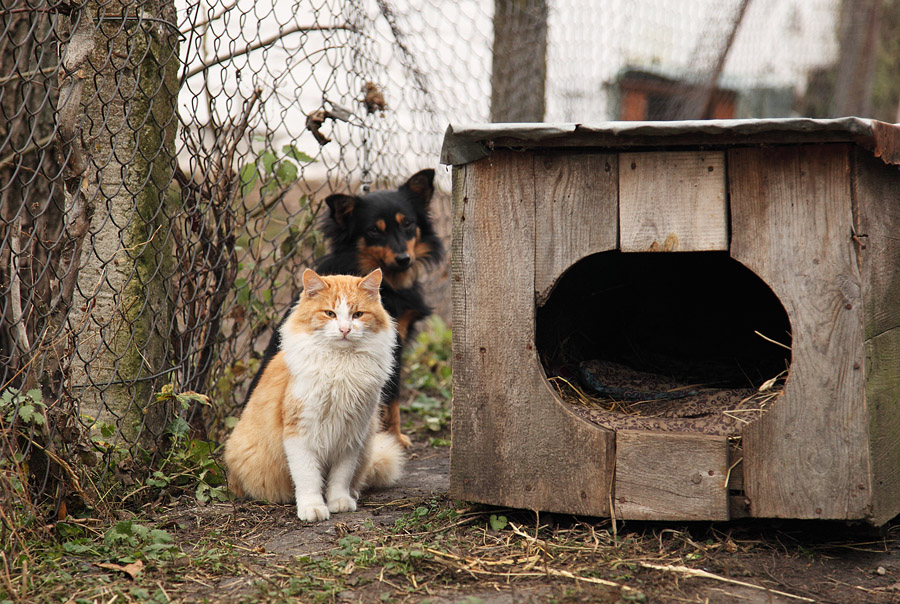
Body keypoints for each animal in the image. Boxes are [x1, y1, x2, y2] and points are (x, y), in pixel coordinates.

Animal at [225, 268, 404, 520]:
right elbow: (308, 476)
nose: (345, 329)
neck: (340, 366)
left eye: (358, 314)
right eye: (330, 313)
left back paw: (352, 494)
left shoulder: (351, 434)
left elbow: (341, 477)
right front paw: (312, 507)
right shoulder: (300, 432)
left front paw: (338, 501)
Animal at [244, 168, 444, 446]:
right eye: (373, 231)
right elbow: (390, 397)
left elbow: (392, 399)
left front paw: (393, 438)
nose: (404, 259)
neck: (390, 282)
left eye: (408, 224)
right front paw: (391, 439)